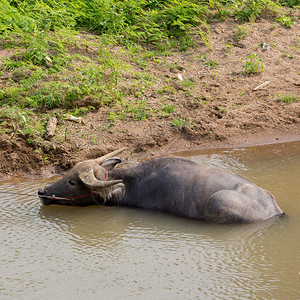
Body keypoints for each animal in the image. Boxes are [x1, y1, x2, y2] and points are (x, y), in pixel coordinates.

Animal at [37, 148, 284, 223]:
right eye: (67, 174)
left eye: (72, 182)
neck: (132, 183)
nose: (42, 191)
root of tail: (274, 208)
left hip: (218, 201)